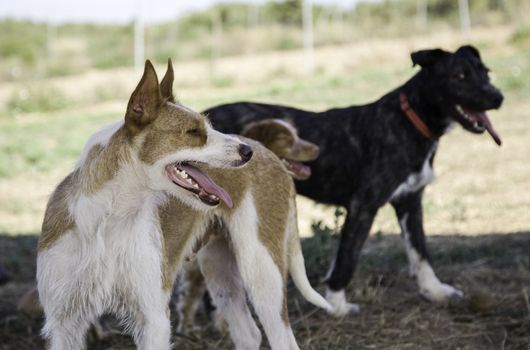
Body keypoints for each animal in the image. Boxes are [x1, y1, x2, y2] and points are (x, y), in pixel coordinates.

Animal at [203, 45, 504, 316]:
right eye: (459, 76)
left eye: (486, 72)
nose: (498, 97)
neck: (409, 121)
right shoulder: (363, 205)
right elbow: (348, 258)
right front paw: (336, 305)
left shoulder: (410, 201)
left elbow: (420, 252)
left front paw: (435, 290)